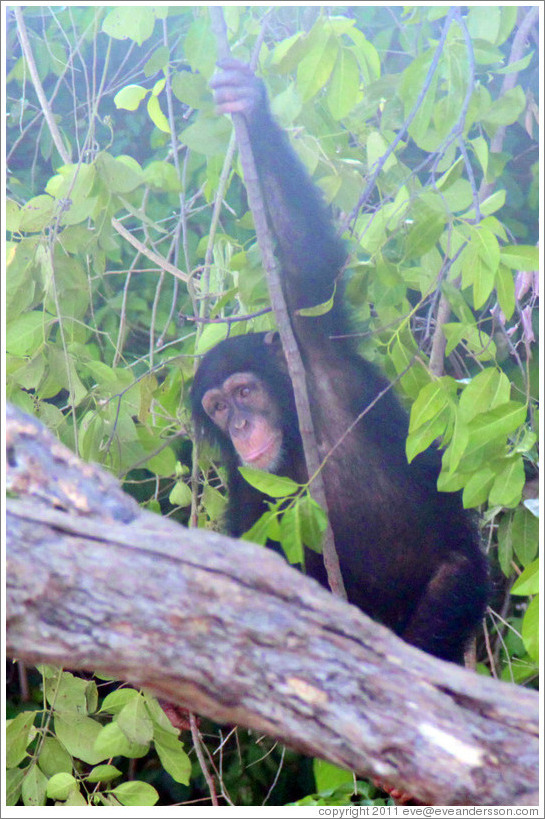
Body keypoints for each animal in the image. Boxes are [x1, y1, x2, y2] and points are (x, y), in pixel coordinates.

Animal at [191, 64, 488, 668]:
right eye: (217, 407)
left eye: (245, 392)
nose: (240, 425)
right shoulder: (245, 481)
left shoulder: (316, 345)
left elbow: (306, 259)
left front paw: (250, 105)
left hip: (458, 582)